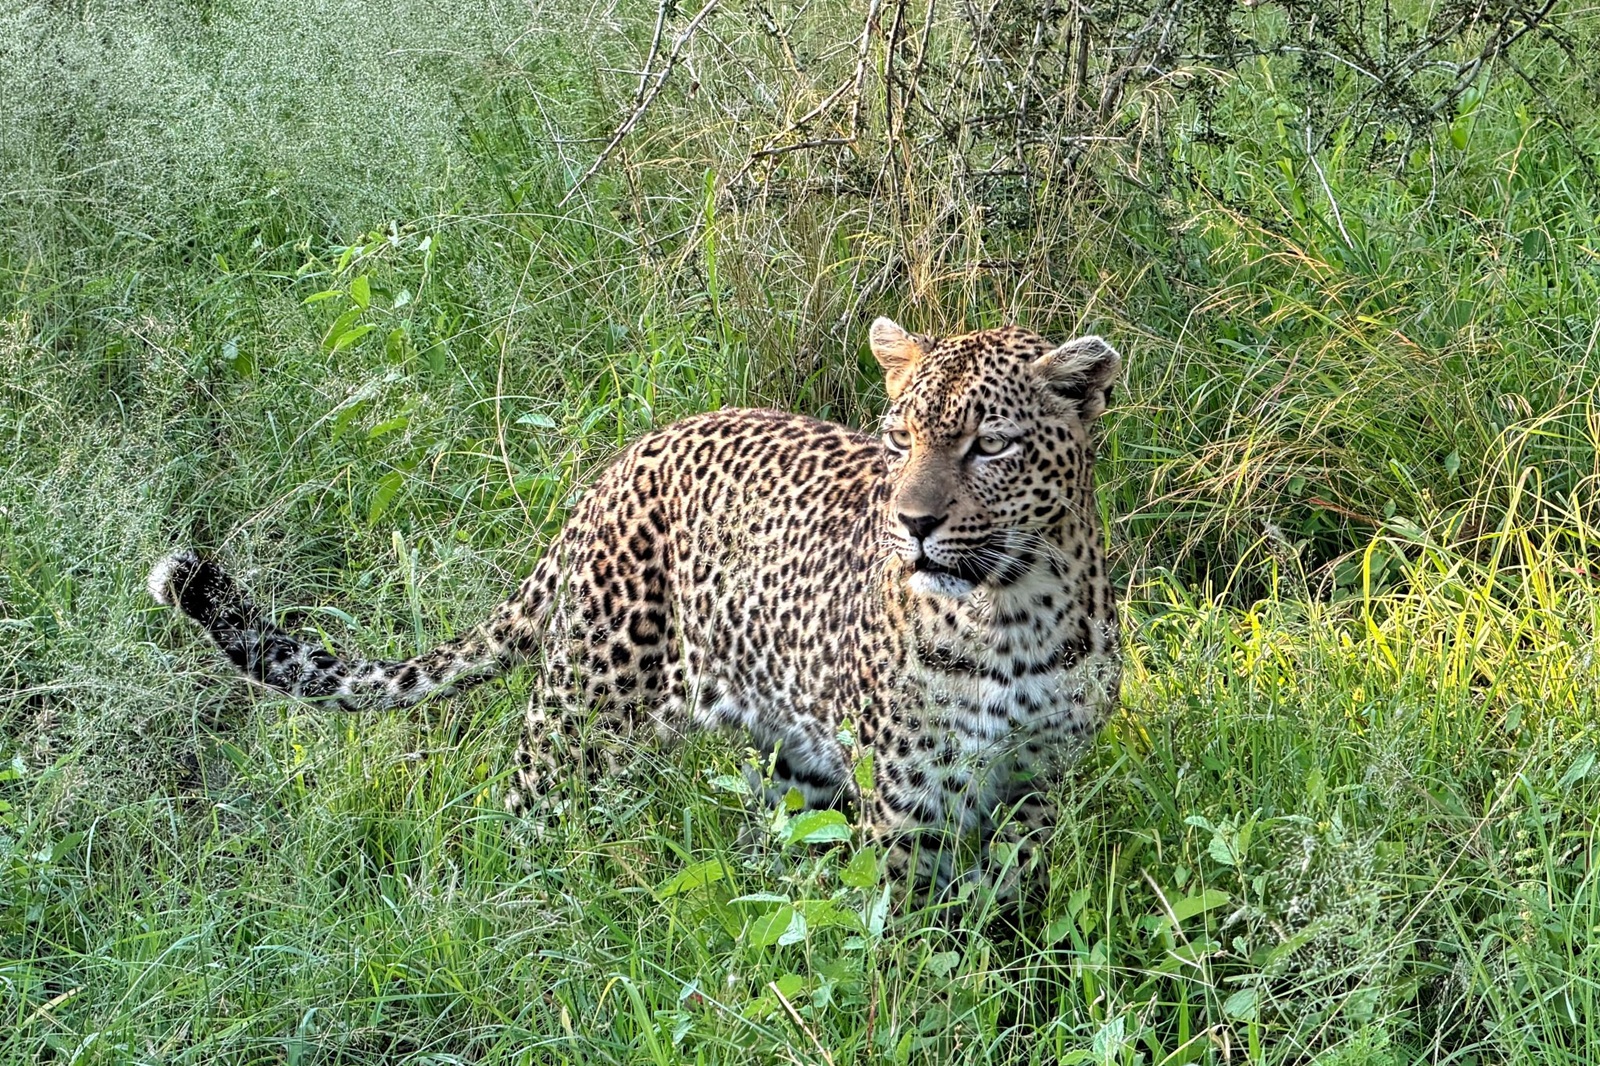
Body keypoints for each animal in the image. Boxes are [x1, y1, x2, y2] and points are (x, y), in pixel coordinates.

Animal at [148, 318, 1123, 894]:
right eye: (898, 440)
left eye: (990, 445)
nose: (912, 524)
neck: (1012, 615)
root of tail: (613, 471)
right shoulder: (912, 805)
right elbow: (908, 944)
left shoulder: (1040, 786)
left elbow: (1012, 919)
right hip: (579, 710)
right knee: (517, 810)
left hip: (794, 757)